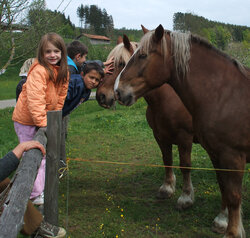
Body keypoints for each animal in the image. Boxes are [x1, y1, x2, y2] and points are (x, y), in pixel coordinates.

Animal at [96, 34, 195, 210]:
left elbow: (185, 165)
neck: (167, 99)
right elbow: (167, 160)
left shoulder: (185, 138)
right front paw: (167, 188)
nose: (101, 96)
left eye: (122, 64)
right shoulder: (160, 136)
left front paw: (186, 197)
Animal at [115, 24, 250, 238]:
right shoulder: (215, 154)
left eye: (143, 55)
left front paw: (232, 232)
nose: (118, 92)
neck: (227, 95)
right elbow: (223, 188)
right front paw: (222, 220)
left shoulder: (232, 157)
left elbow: (233, 195)